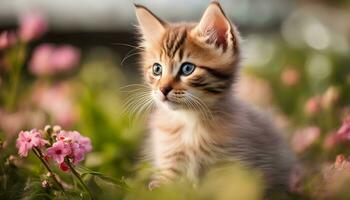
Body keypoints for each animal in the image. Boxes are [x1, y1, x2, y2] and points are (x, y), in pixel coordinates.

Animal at [134, 1, 296, 189]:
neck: (189, 121)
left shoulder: (230, 168)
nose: (163, 89)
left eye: (187, 69)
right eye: (157, 69)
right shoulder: (169, 163)